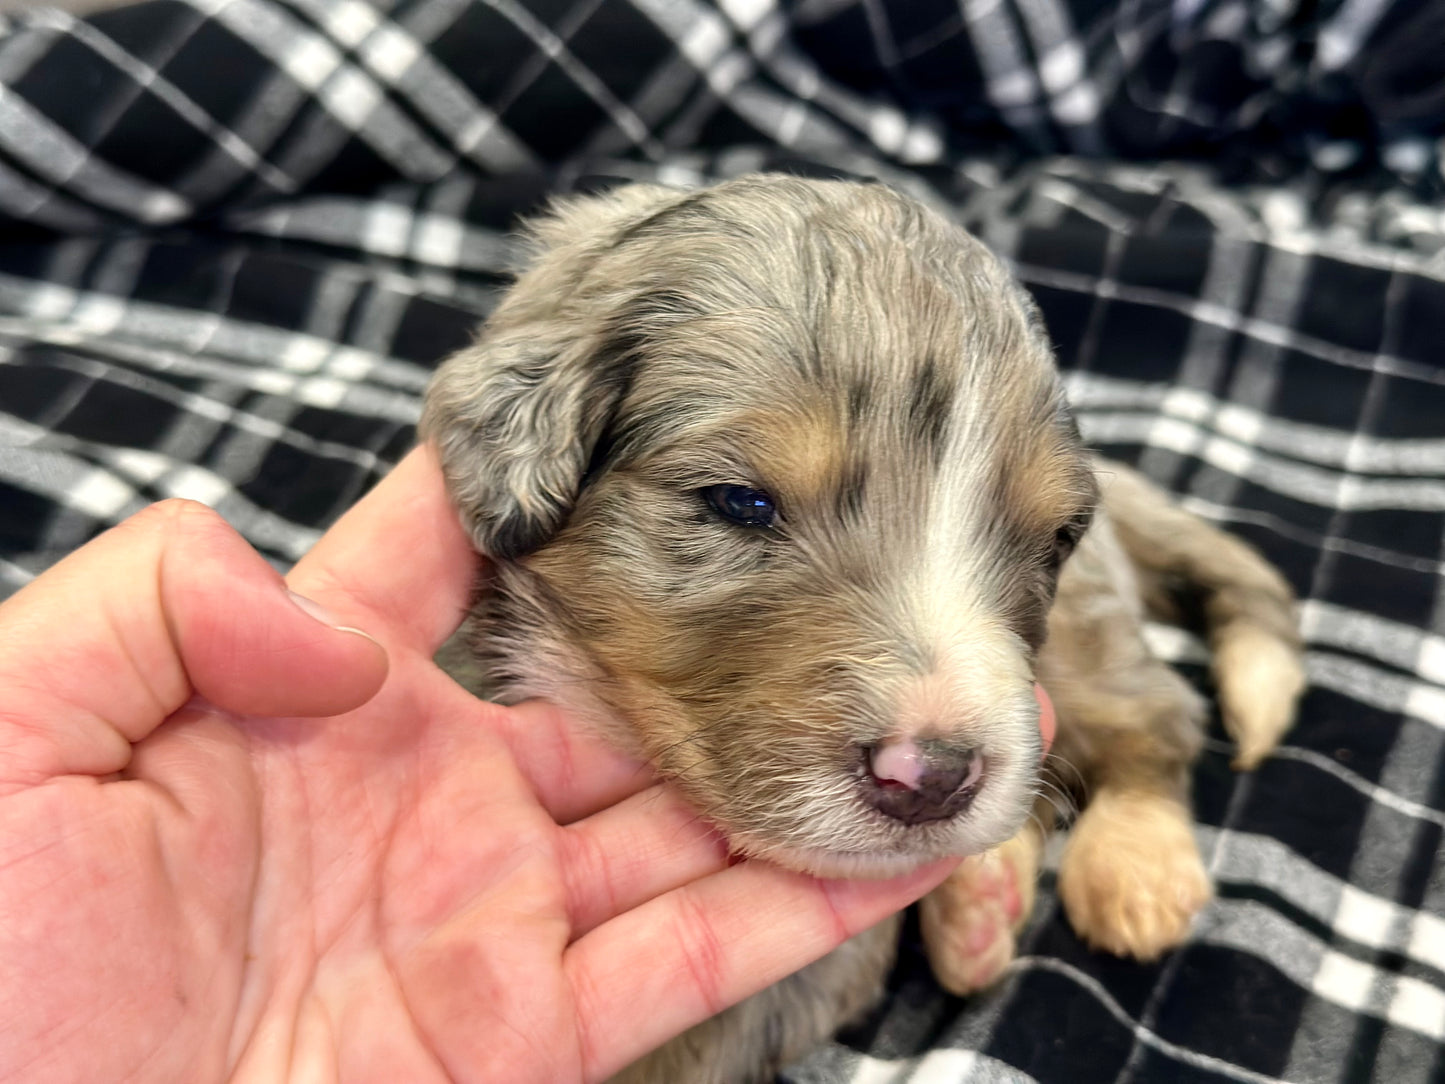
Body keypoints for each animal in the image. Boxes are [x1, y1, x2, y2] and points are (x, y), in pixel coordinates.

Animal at [421, 178, 1312, 1084]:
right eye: (739, 501)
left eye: (1050, 538)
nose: (935, 779)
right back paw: (976, 914)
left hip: (1079, 649)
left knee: (1154, 718)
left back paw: (1133, 871)